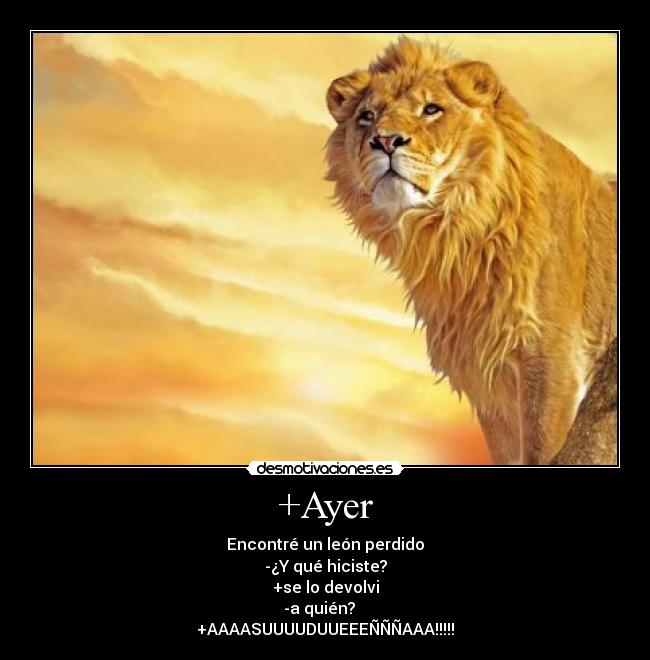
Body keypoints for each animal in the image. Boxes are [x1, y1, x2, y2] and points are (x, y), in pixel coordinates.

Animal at [325, 38, 616, 465]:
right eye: (367, 116)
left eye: (431, 109)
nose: (385, 141)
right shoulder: (489, 376)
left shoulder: (554, 360)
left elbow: (543, 446)